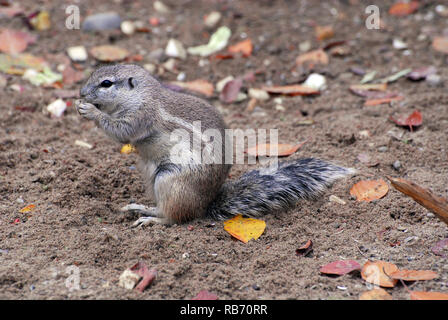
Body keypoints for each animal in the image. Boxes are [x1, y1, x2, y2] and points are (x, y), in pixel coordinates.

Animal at [75, 64, 354, 225]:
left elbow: (121, 132)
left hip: (169, 180)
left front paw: (90, 111)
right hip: (151, 176)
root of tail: (205, 205)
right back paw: (142, 207)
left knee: (175, 218)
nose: (81, 93)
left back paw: (152, 219)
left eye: (106, 83)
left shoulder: (141, 116)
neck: (141, 95)